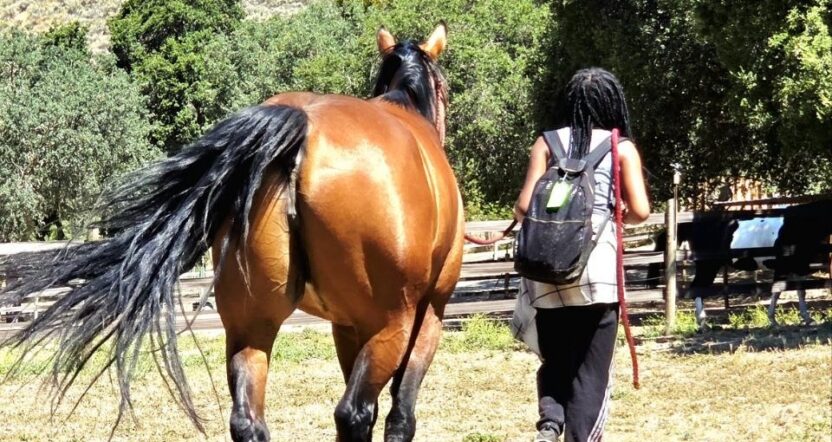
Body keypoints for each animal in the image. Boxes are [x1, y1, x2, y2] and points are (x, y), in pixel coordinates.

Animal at [0, 24, 461, 442]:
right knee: (353, 412)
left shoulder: (345, 326)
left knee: (248, 420)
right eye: (444, 88)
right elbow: (399, 414)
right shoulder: (427, 315)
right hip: (389, 325)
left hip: (250, 325)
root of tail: (301, 125)